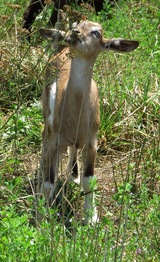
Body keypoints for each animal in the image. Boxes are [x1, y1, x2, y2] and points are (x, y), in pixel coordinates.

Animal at [39, 19, 139, 224]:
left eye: (96, 33)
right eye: (75, 25)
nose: (74, 33)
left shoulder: (92, 140)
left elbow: (89, 180)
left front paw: (91, 217)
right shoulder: (54, 140)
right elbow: (48, 182)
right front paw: (44, 217)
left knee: (73, 149)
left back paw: (73, 174)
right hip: (47, 117)